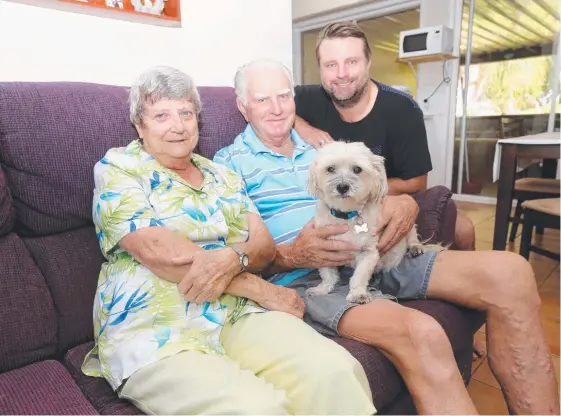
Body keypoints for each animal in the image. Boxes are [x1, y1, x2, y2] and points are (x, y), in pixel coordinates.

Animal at [306, 141, 424, 304]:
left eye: (357, 169)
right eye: (330, 169)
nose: (342, 187)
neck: (346, 215)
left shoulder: (368, 252)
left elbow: (360, 275)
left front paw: (357, 294)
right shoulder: (323, 250)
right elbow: (327, 273)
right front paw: (322, 289)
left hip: (407, 224)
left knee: (412, 233)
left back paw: (415, 247)